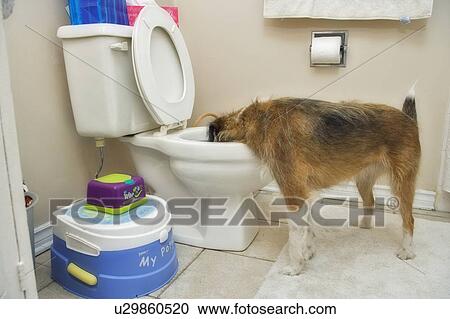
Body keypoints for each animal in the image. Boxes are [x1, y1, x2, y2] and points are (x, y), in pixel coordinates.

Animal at [209, 87, 420, 276]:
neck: (260, 119)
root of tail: (409, 118)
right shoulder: (305, 196)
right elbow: (308, 229)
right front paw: (308, 251)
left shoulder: (294, 195)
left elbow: (295, 238)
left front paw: (295, 266)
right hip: (364, 180)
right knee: (371, 201)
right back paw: (365, 225)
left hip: (402, 183)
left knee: (409, 220)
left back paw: (407, 251)